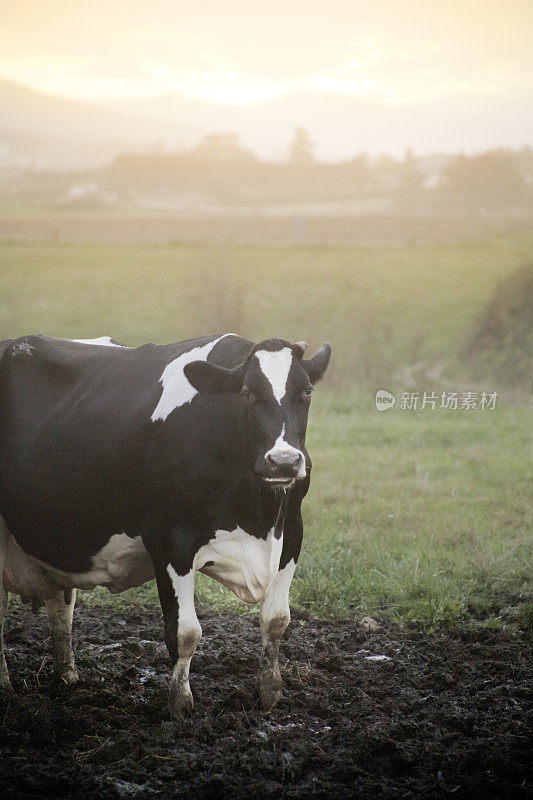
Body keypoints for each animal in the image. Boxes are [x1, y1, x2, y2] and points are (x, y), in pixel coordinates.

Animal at [0, 332, 330, 712]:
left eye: (307, 392)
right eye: (247, 393)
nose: (284, 461)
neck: (257, 515)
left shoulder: (291, 531)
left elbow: (276, 620)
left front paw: (271, 692)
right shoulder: (170, 540)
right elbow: (185, 632)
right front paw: (180, 703)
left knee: (60, 606)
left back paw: (68, 677)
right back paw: (5, 684)